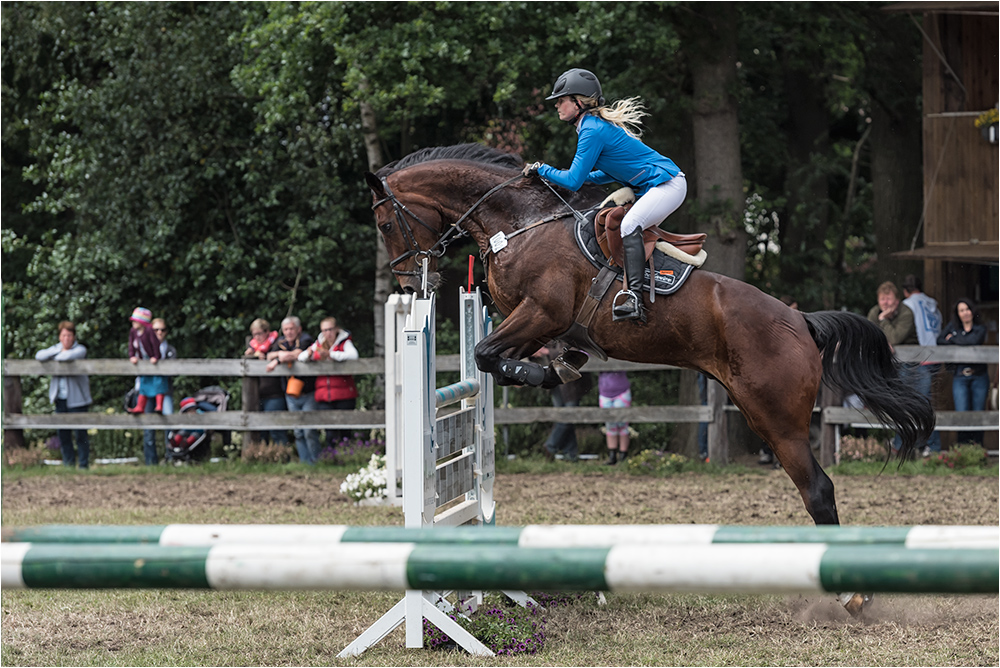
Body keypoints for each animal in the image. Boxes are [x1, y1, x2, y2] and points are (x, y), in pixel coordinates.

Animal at [368, 146, 936, 532]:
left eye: (385, 224)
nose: (408, 284)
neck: (519, 223)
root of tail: (801, 322)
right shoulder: (535, 323)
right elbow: (497, 359)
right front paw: (559, 367)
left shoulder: (541, 312)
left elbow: (486, 355)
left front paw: (543, 372)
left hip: (778, 420)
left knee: (817, 488)